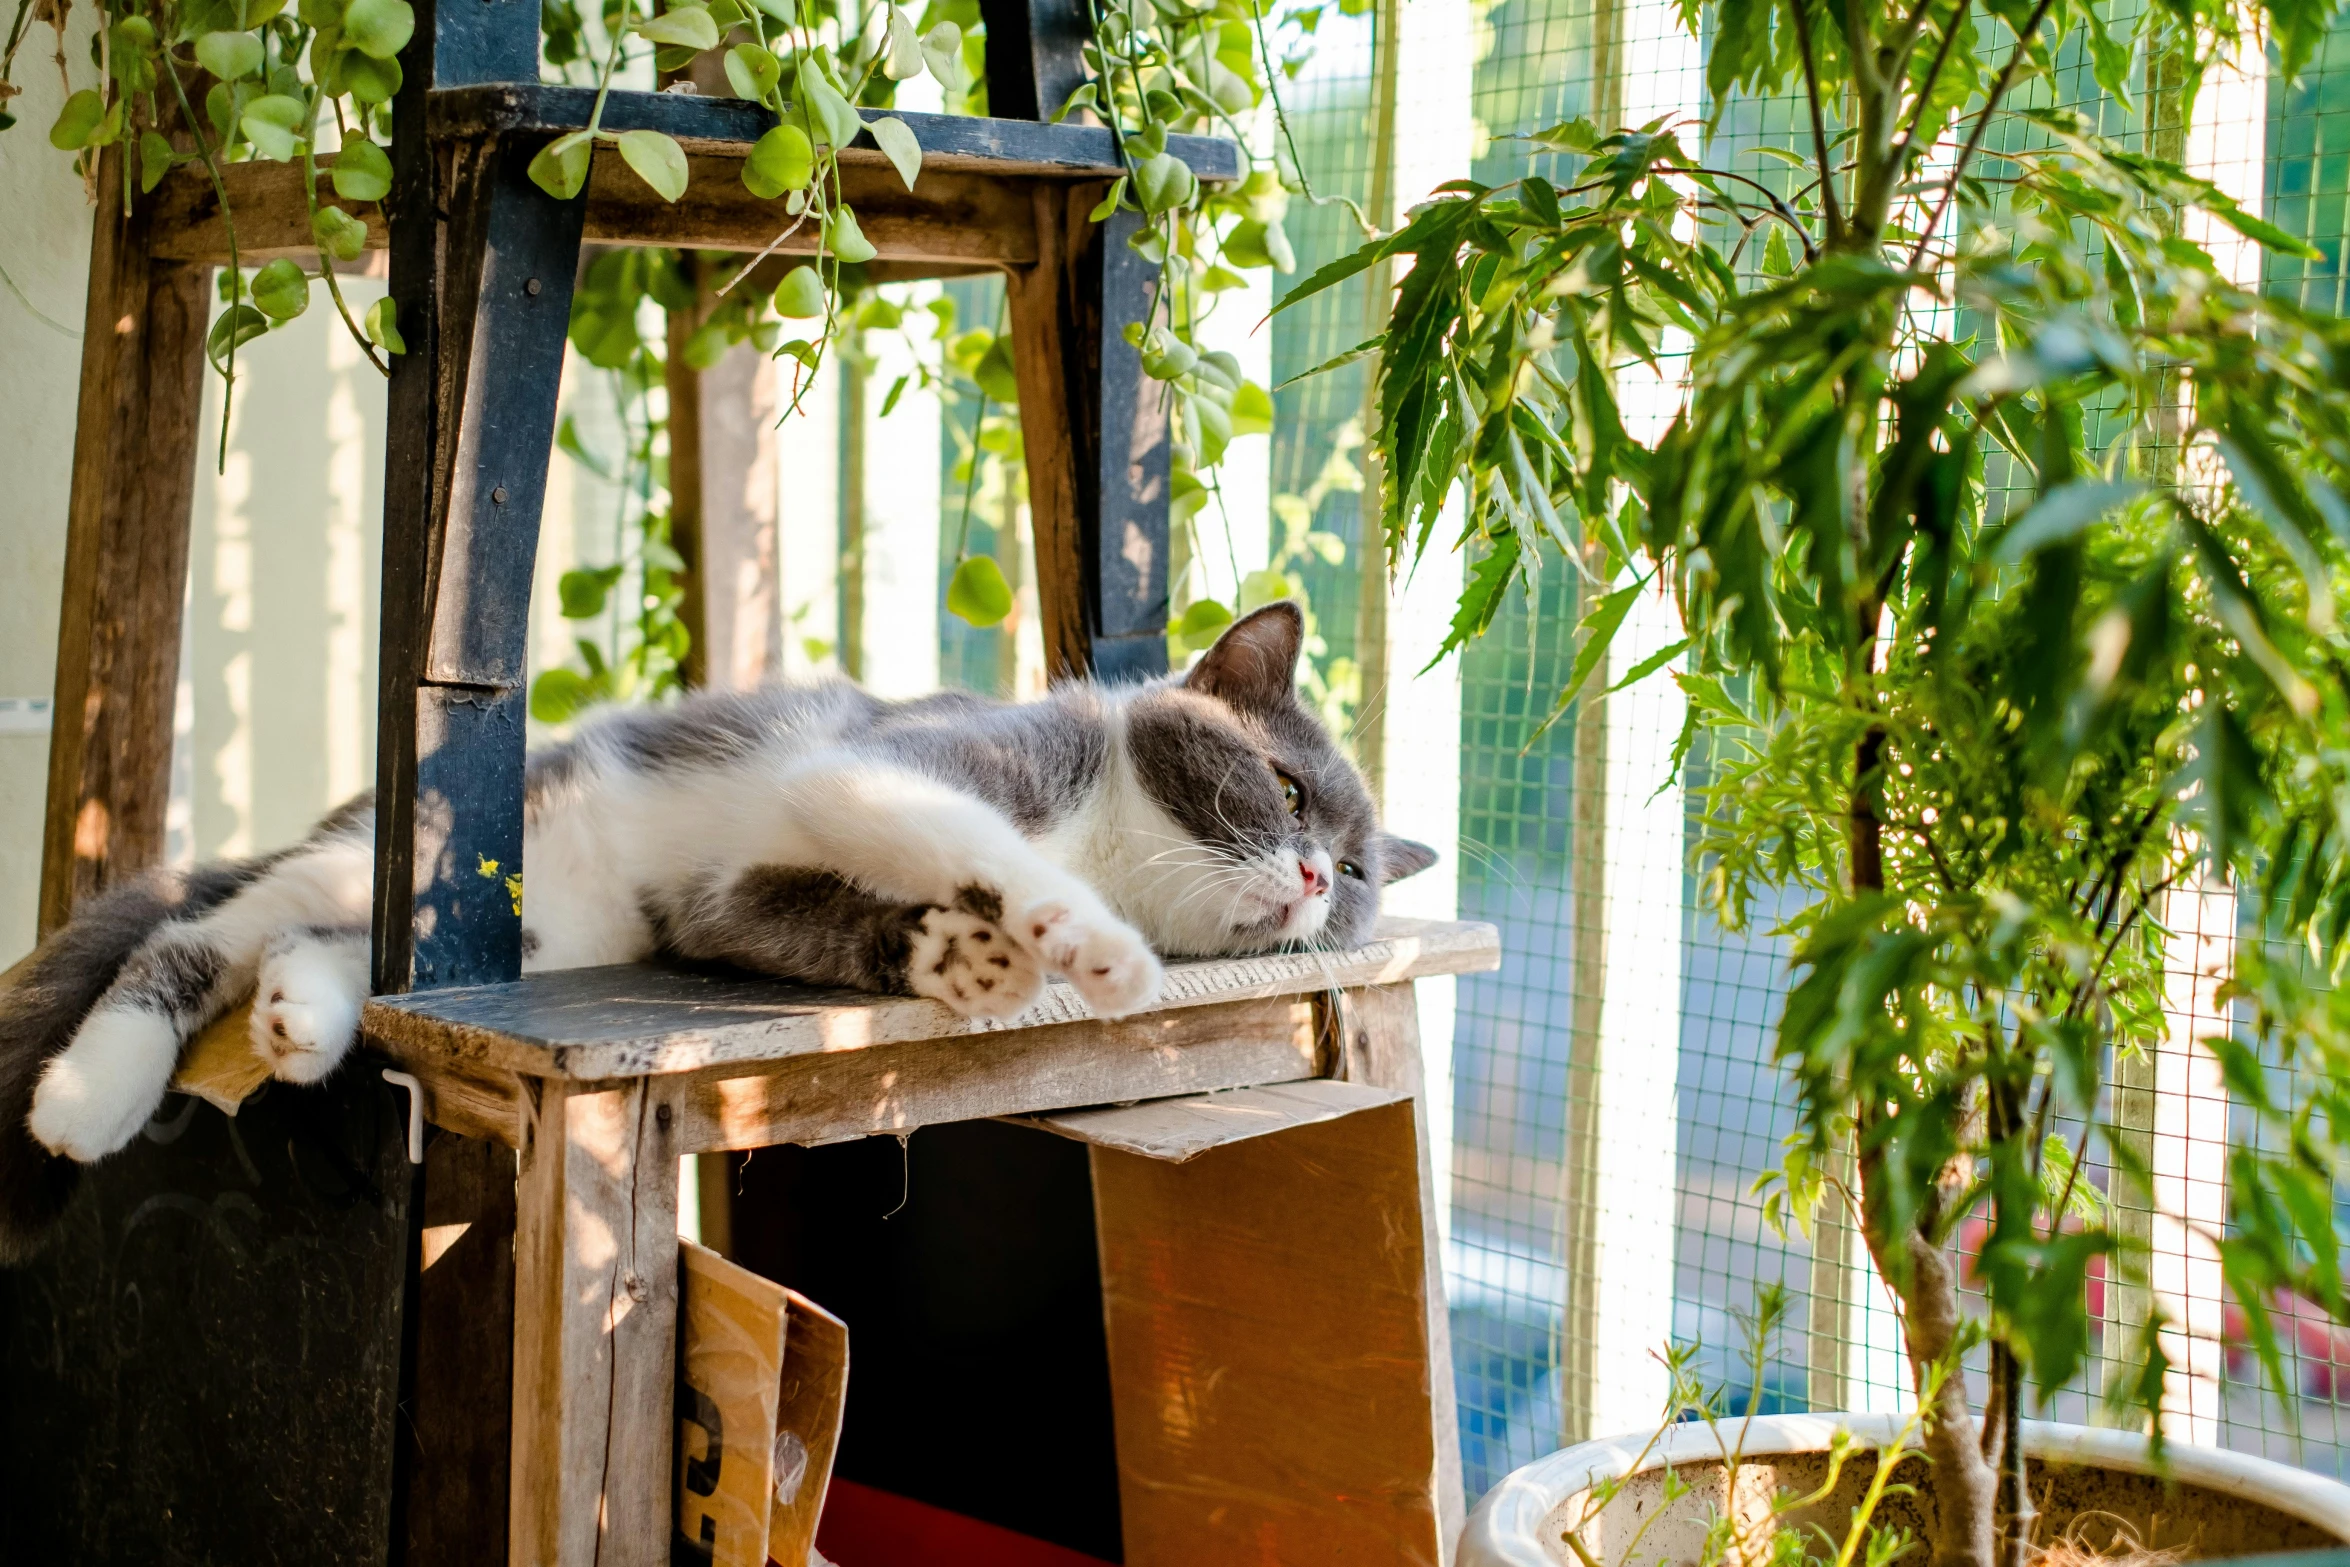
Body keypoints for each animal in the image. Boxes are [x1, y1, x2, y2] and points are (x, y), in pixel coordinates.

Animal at [4, 606, 1428, 1259]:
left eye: (1363, 872)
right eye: (1284, 789)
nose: (1315, 877)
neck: (1114, 836)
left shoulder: (719, 900)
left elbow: (792, 918)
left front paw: (959, 957)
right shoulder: (896, 761)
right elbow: (966, 834)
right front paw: (1083, 947)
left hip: (544, 924)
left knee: (322, 944)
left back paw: (303, 1019)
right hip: (411, 858)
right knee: (198, 933)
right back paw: (85, 1096)